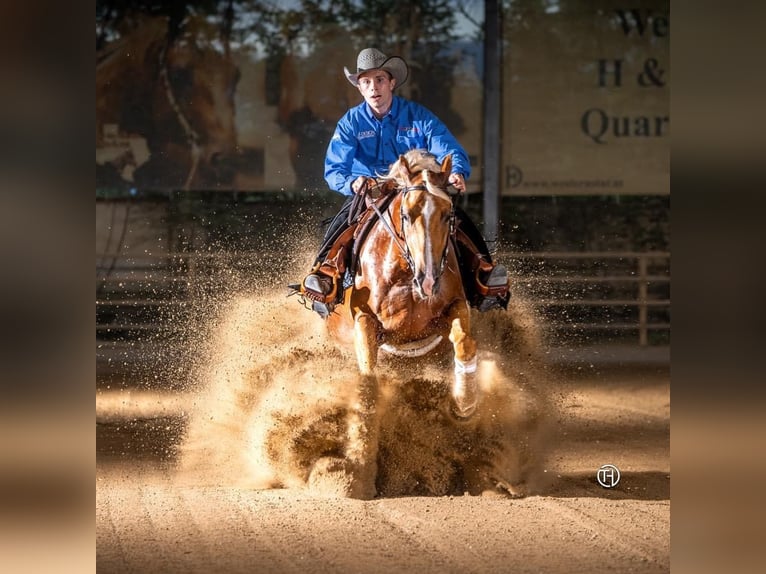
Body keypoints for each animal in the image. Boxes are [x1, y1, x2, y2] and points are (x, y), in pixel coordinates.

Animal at [324, 148, 480, 500]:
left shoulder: (453, 308)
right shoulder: (365, 321)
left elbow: (465, 343)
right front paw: (358, 468)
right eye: (407, 215)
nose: (429, 279)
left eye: (447, 214)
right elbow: (368, 383)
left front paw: (464, 403)